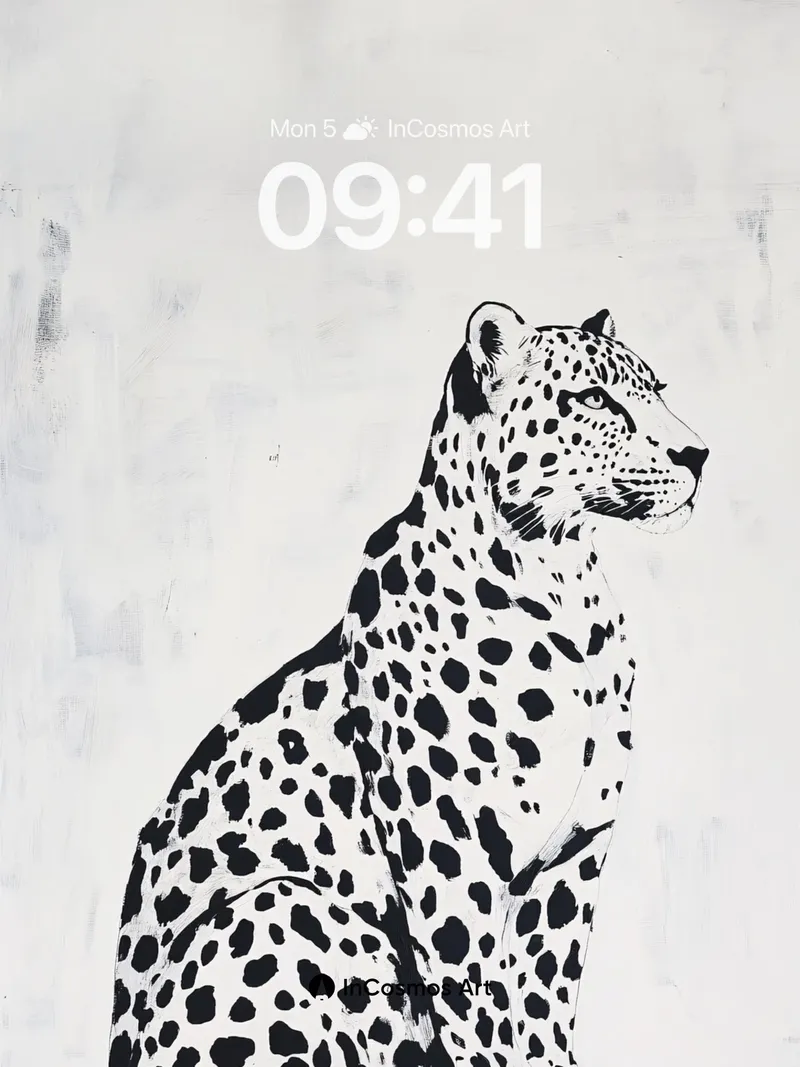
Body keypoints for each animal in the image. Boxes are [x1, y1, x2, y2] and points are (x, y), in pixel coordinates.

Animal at [108, 300, 708, 1067]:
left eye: (656, 390)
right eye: (594, 400)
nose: (697, 455)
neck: (565, 583)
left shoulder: (571, 864)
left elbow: (545, 1005)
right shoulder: (454, 870)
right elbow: (483, 1012)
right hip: (282, 906)